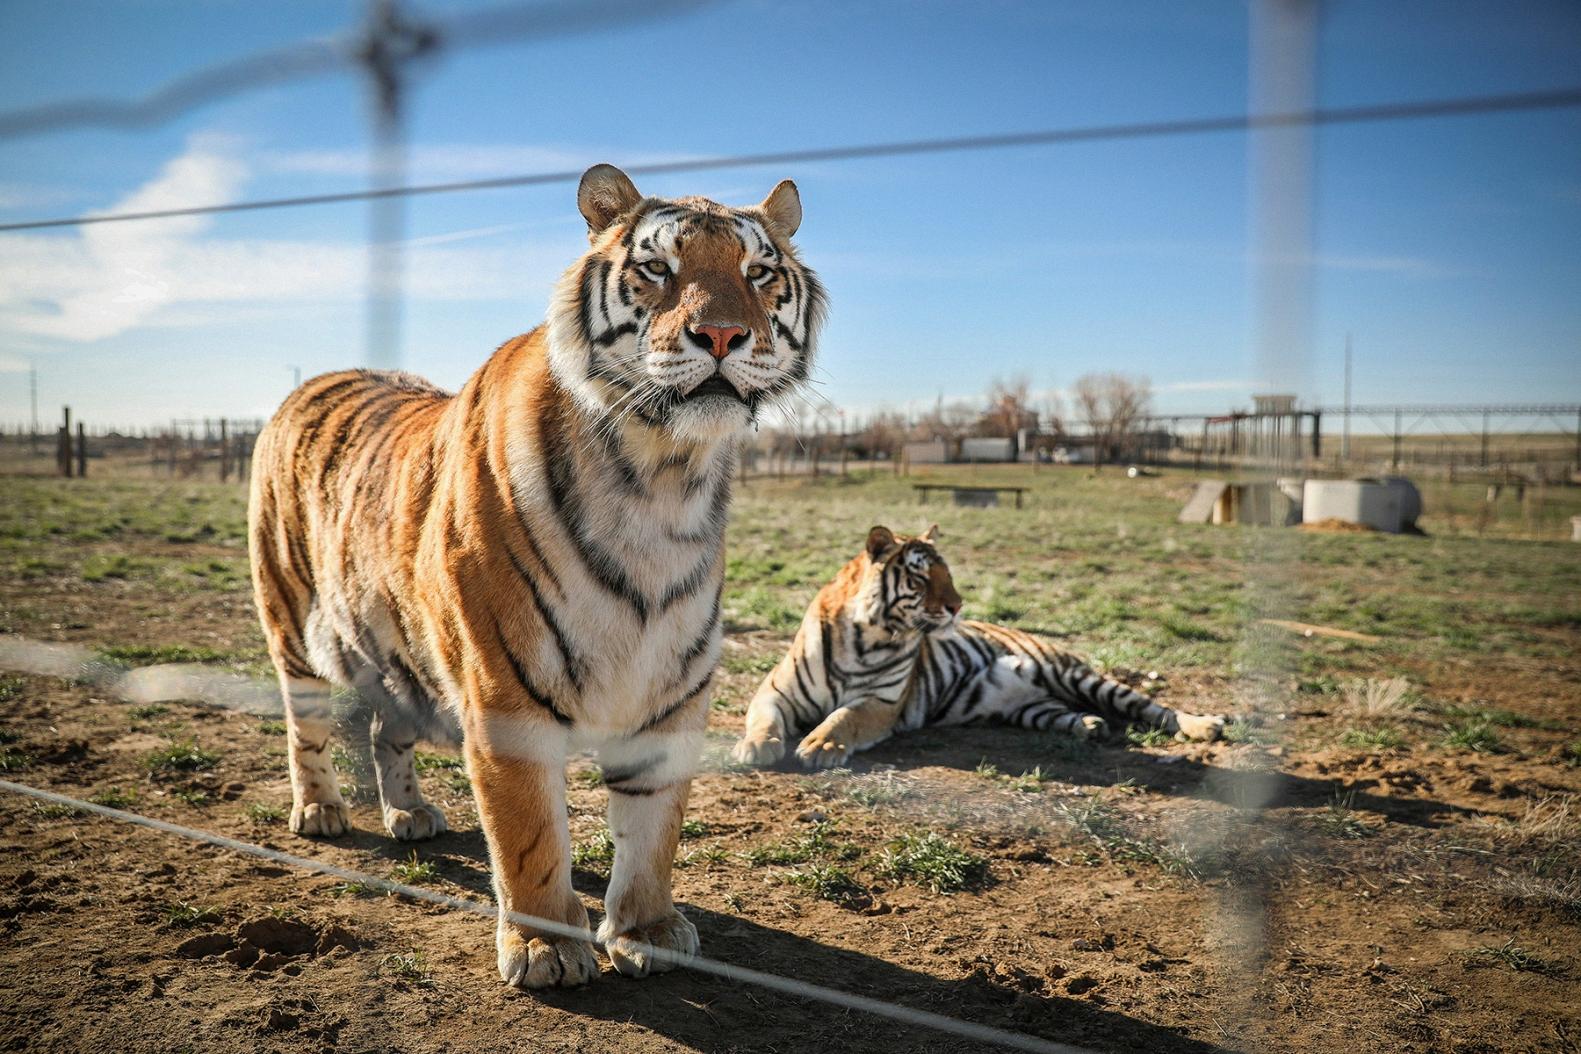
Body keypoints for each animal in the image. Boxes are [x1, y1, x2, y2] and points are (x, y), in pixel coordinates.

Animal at [248, 165, 828, 992]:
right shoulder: (505, 691)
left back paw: (410, 815)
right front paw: (546, 946)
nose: (720, 335)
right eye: (658, 268)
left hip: (397, 647)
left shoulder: (673, 693)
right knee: (307, 725)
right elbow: (529, 833)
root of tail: (314, 379)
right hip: (290, 618)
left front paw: (648, 931)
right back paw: (321, 811)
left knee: (388, 729)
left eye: (758, 273)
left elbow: (653, 831)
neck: (662, 475)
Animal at [733, 524, 1226, 767]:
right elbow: (763, 719)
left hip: (1074, 674)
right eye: (921, 576)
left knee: (1153, 707)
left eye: (947, 573)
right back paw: (1090, 726)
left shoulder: (882, 702)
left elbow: (843, 717)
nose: (957, 605)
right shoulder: (775, 691)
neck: (865, 634)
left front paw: (821, 746)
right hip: (1030, 706)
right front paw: (754, 746)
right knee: (1063, 712)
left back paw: (1204, 726)